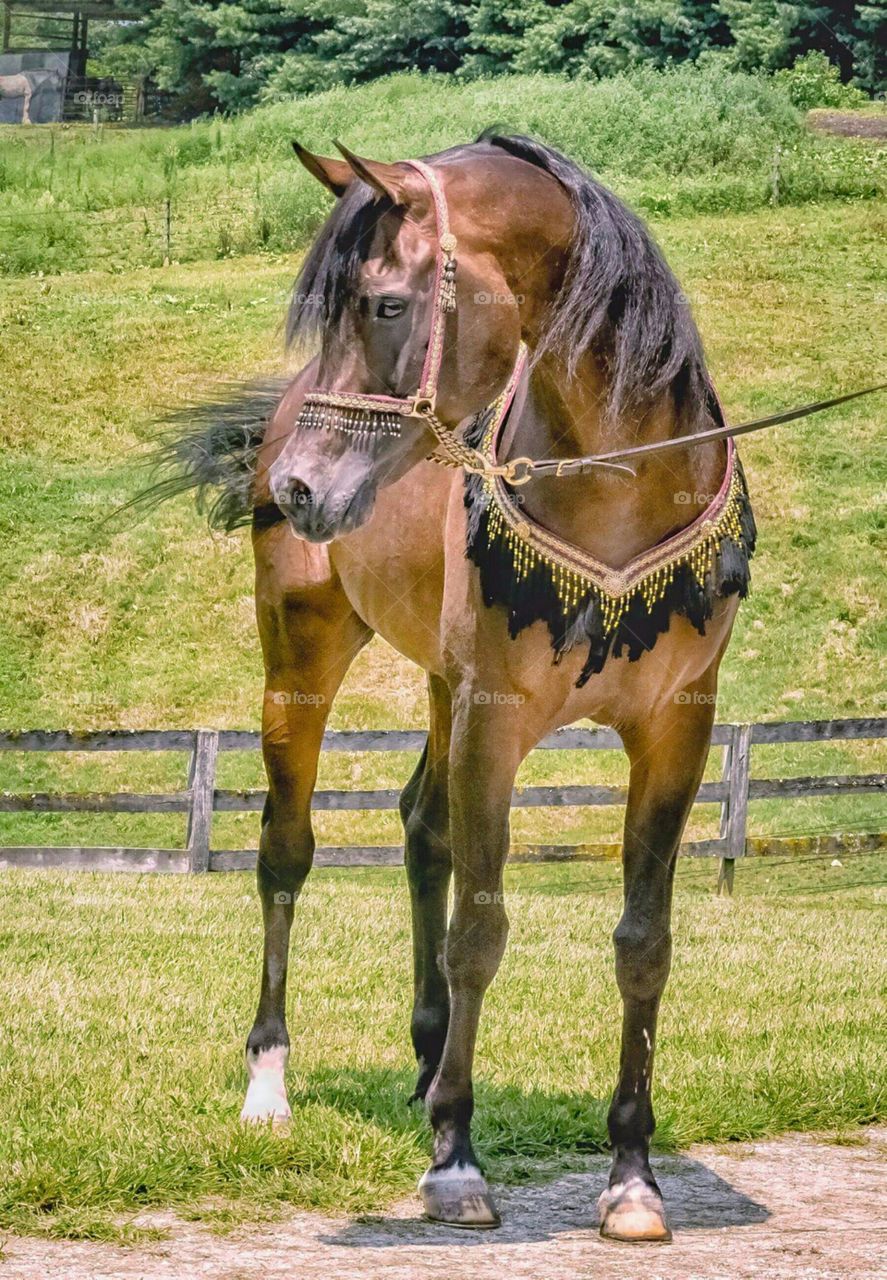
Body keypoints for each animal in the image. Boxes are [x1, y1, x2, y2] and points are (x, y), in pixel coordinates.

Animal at [154, 132, 756, 1241]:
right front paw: (456, 1164)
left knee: (420, 827)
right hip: (301, 663)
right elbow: (479, 933)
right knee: (284, 852)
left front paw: (632, 1176)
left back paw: (431, 1060)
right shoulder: (494, 720)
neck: (617, 481)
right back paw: (271, 1084)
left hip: (436, 684)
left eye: (386, 305)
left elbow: (641, 942)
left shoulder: (675, 728)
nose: (301, 486)